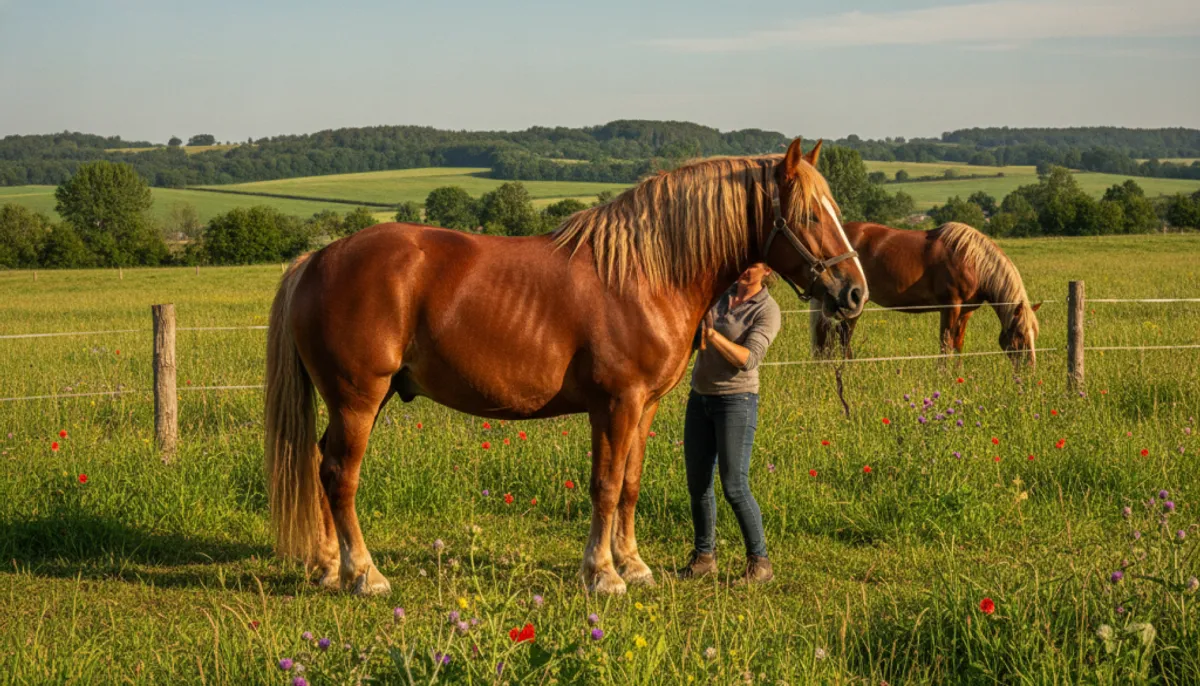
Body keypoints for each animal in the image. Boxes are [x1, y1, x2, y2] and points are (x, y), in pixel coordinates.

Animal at [264, 139, 868, 597]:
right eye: (810, 215)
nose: (854, 292)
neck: (646, 273)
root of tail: (316, 259)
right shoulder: (616, 404)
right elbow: (605, 485)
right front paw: (602, 575)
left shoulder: (643, 407)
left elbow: (629, 484)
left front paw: (632, 565)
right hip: (359, 398)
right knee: (340, 474)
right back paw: (364, 575)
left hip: (362, 399)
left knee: (319, 463)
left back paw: (327, 568)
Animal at [810, 221, 1040, 364]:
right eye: (1020, 334)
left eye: (1034, 334)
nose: (1030, 369)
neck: (972, 261)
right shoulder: (950, 307)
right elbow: (945, 343)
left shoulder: (966, 311)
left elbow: (958, 343)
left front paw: (958, 375)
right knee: (843, 336)